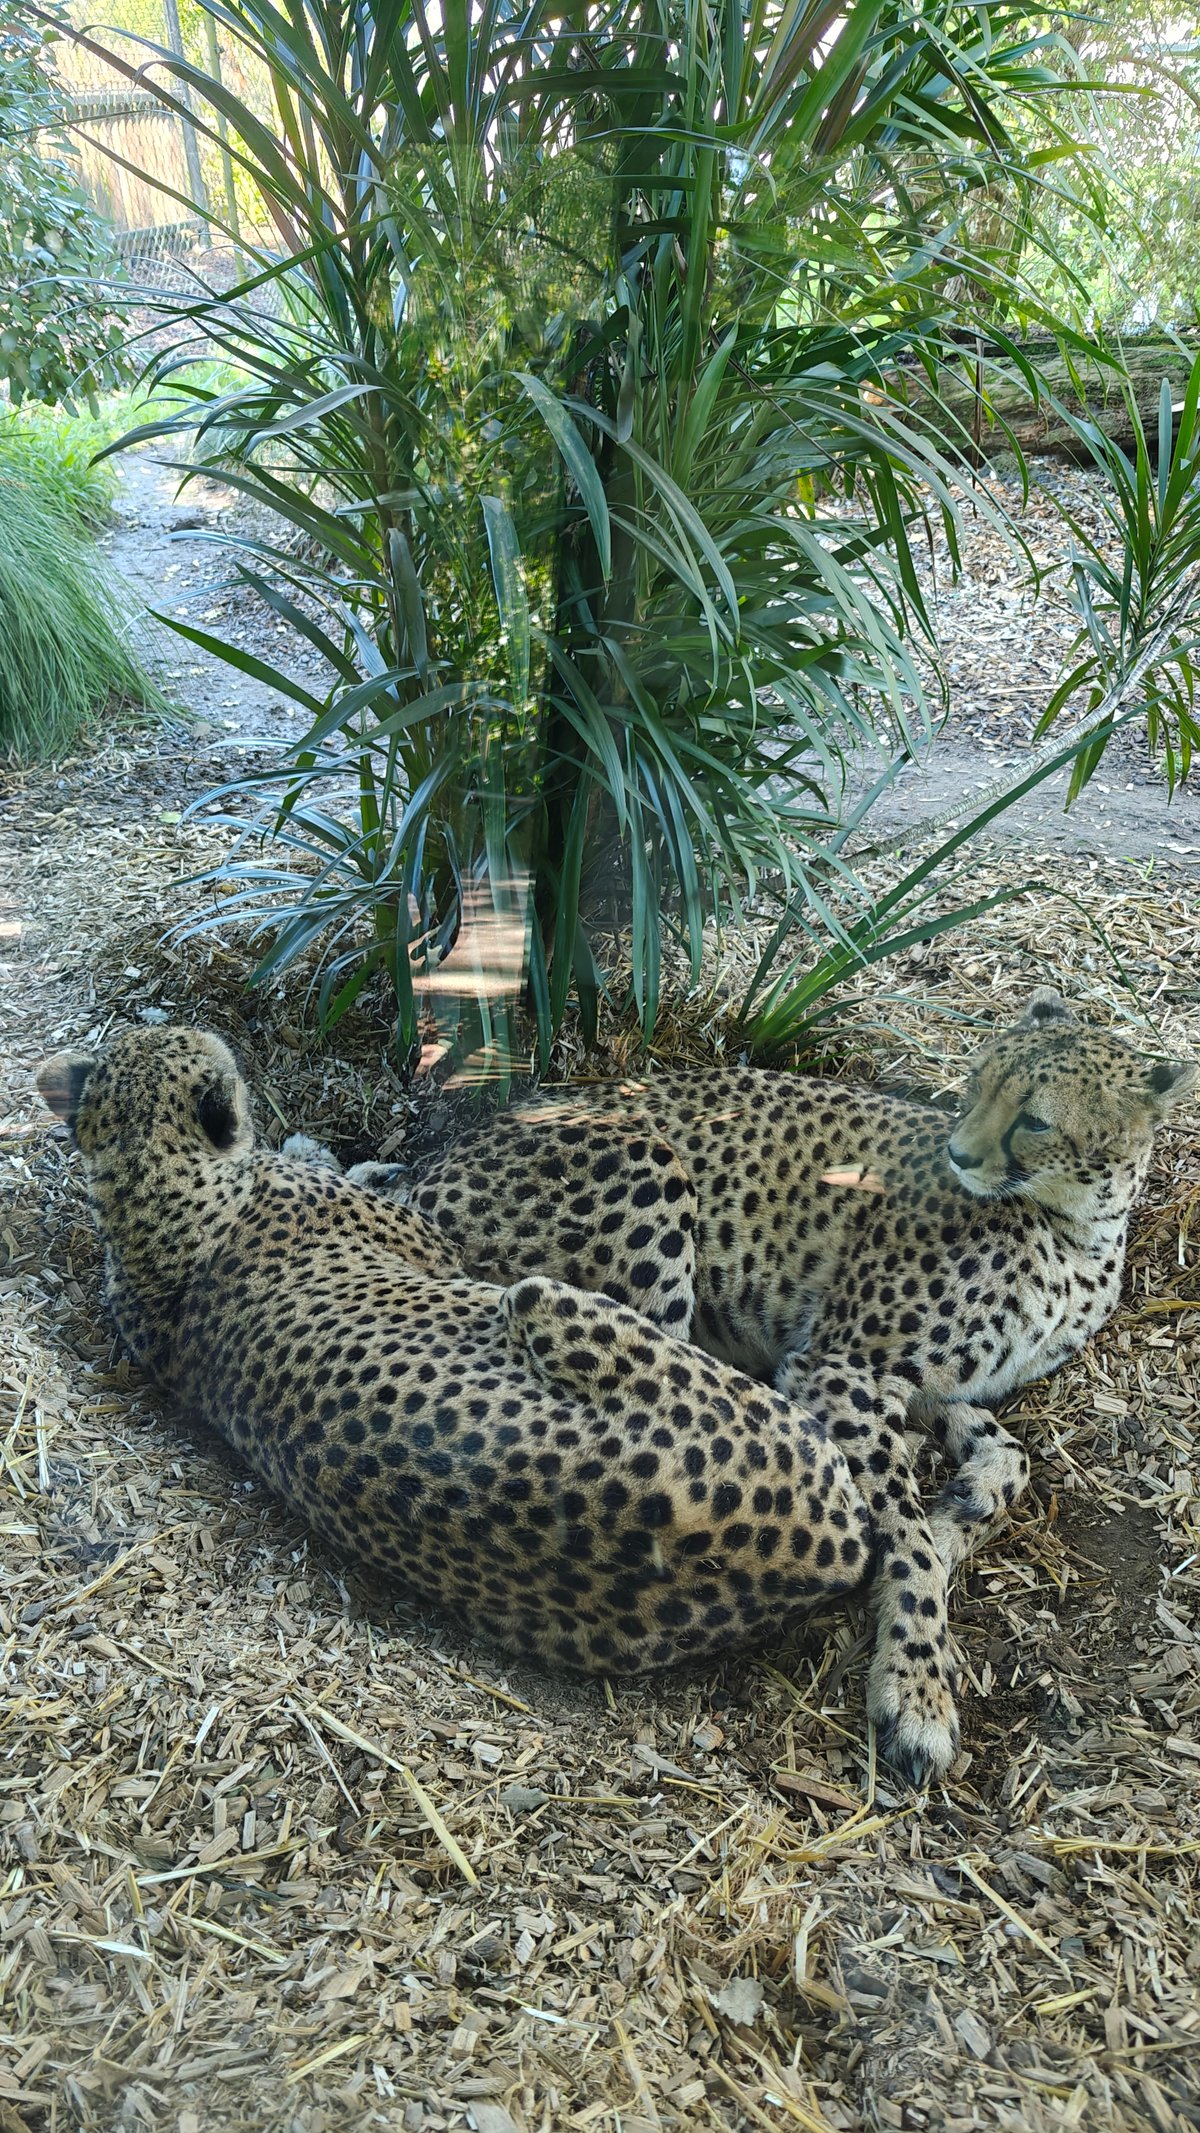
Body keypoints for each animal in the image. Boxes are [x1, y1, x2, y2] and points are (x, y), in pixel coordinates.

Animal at [324, 987, 1193, 1747]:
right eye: (976, 1084)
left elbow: (1011, 1454)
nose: (959, 1151)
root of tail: (427, 1167)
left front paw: (962, 1509)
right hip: (645, 1167)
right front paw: (917, 1685)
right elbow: (905, 1536)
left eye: (1035, 1118)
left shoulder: (915, 1376)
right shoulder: (837, 1361)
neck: (1073, 1225)